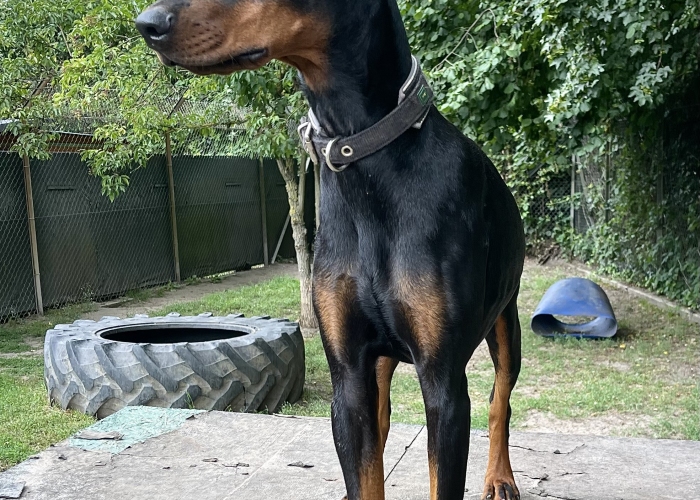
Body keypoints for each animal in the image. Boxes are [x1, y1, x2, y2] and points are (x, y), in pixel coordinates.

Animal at [138, 0, 524, 500]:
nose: (147, 25)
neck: (366, 161)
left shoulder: (443, 382)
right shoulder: (348, 374)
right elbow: (364, 468)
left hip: (506, 324)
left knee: (501, 399)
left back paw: (500, 477)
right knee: (381, 423)